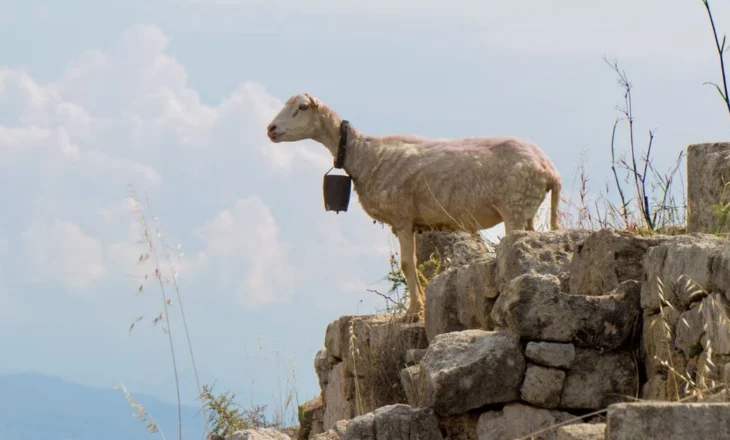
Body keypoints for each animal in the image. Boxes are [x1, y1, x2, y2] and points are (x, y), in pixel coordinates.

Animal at [264, 93, 560, 322]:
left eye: (302, 107)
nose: (270, 129)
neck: (364, 155)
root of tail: (549, 169)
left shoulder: (402, 218)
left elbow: (408, 264)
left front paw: (413, 312)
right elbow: (416, 264)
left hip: (514, 207)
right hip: (527, 209)